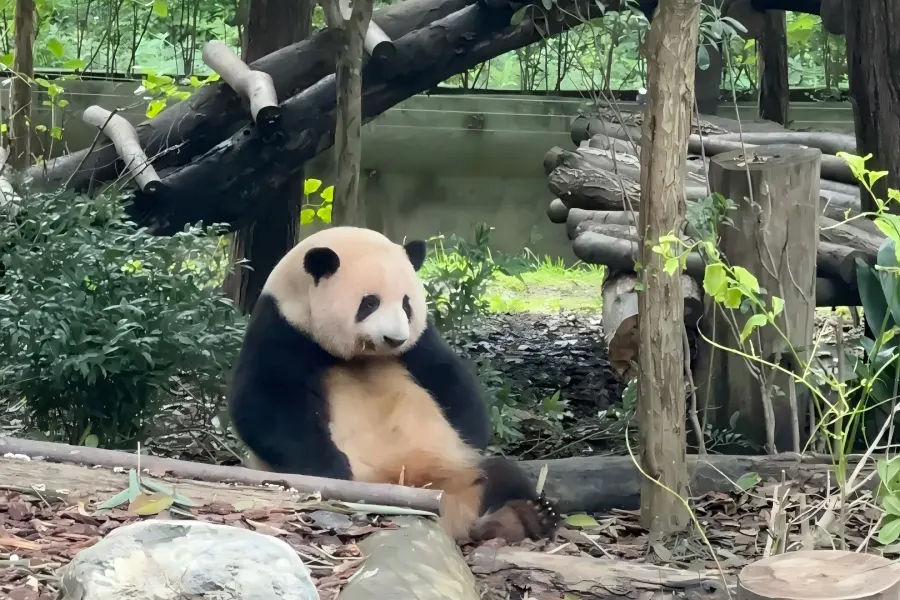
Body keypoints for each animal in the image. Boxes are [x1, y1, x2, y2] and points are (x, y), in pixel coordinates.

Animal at [227, 226, 561, 544]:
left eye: (406, 304)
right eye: (370, 302)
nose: (395, 338)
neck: (363, 355)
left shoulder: (418, 343)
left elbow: (450, 379)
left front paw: (472, 433)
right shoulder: (282, 329)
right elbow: (266, 403)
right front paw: (331, 468)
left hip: (454, 470)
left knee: (500, 474)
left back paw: (527, 518)